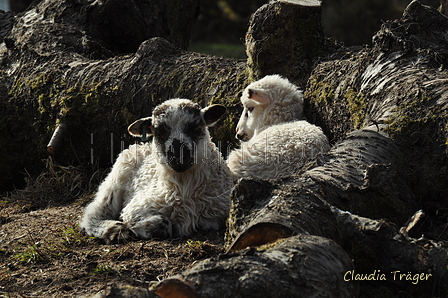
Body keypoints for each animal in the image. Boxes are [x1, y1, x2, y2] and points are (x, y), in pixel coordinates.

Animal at [81, 99, 234, 243]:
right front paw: (135, 227)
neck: (184, 190)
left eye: (196, 128)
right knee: (94, 212)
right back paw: (114, 230)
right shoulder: (135, 207)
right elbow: (162, 223)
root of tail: (144, 145)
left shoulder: (218, 212)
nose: (178, 157)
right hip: (115, 181)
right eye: (158, 132)